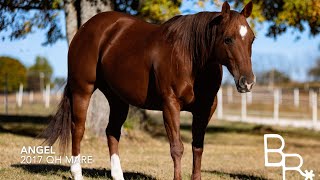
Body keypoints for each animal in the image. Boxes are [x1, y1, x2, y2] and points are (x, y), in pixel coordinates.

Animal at [43, 1, 256, 180]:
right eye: (228, 39)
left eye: (252, 39)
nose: (247, 82)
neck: (189, 56)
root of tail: (85, 28)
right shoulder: (170, 105)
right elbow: (177, 147)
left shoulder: (205, 109)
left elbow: (198, 147)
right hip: (82, 90)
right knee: (78, 129)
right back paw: (77, 173)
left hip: (117, 99)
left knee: (112, 131)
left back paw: (117, 175)